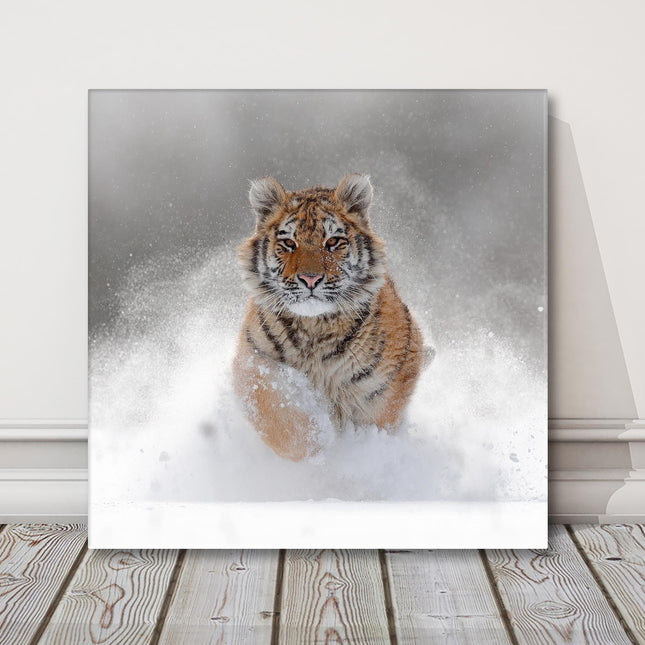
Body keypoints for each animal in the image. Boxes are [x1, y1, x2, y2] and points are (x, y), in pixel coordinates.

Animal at [232, 173, 428, 461]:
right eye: (289, 243)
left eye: (333, 242)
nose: (310, 279)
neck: (315, 328)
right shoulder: (253, 361)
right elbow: (279, 416)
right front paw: (317, 443)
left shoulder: (385, 386)